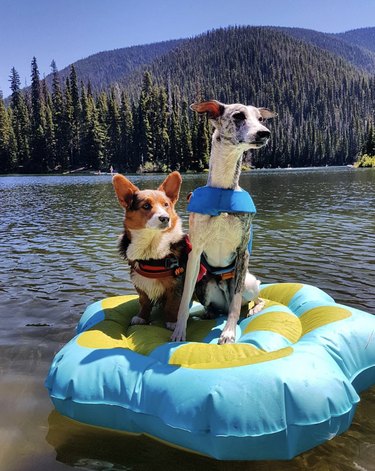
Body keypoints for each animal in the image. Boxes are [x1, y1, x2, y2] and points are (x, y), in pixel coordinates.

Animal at [172, 99, 278, 344]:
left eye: (260, 118)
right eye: (238, 115)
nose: (265, 133)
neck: (223, 192)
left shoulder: (242, 251)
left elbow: (236, 302)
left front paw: (229, 332)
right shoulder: (195, 252)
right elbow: (184, 300)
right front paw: (179, 331)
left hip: (249, 282)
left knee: (250, 300)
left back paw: (253, 309)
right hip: (205, 284)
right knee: (214, 307)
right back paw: (206, 314)